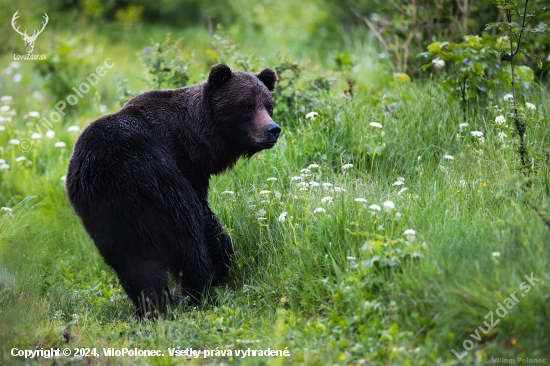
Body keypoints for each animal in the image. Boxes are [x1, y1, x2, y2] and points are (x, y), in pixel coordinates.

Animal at [66, 63, 280, 318]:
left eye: (268, 105)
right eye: (246, 106)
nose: (273, 129)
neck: (199, 135)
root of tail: (111, 175)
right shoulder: (185, 165)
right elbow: (204, 217)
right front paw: (223, 259)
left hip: (108, 219)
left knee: (134, 267)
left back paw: (153, 308)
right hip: (161, 190)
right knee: (189, 246)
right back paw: (201, 296)